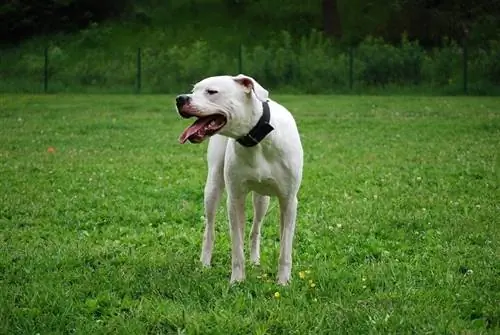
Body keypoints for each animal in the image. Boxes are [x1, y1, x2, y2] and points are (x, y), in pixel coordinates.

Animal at [174, 74, 302, 286]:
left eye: (211, 91)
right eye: (193, 90)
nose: (180, 99)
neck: (256, 139)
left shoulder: (289, 201)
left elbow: (285, 247)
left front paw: (283, 282)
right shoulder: (234, 200)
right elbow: (236, 246)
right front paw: (237, 280)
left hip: (263, 200)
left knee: (256, 229)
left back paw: (255, 260)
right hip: (213, 187)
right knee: (209, 229)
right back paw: (205, 262)